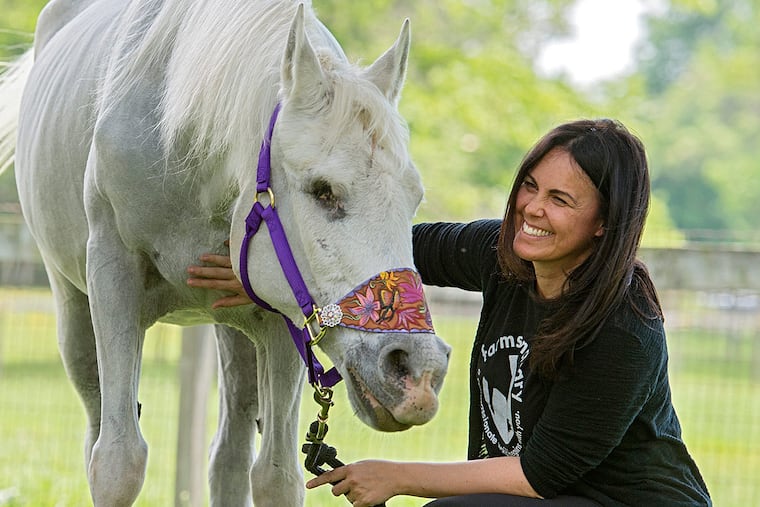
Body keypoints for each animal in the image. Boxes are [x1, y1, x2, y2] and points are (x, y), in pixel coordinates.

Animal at [0, 1, 450, 505]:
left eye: (414, 199)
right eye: (323, 190)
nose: (418, 371)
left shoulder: (282, 316)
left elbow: (277, 476)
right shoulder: (113, 279)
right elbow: (117, 462)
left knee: (229, 454)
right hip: (75, 317)